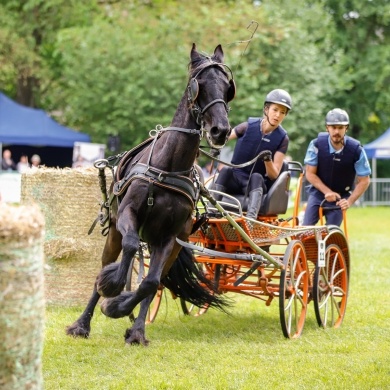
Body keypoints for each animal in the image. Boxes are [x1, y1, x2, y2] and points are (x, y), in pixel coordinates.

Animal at [66, 44, 235, 346]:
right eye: (198, 85)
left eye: (228, 87)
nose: (221, 130)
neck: (169, 166)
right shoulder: (128, 215)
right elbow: (131, 248)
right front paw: (112, 285)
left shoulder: (170, 236)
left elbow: (149, 283)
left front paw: (121, 309)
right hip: (114, 233)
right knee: (109, 262)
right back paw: (82, 323)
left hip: (170, 246)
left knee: (154, 280)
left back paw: (136, 328)